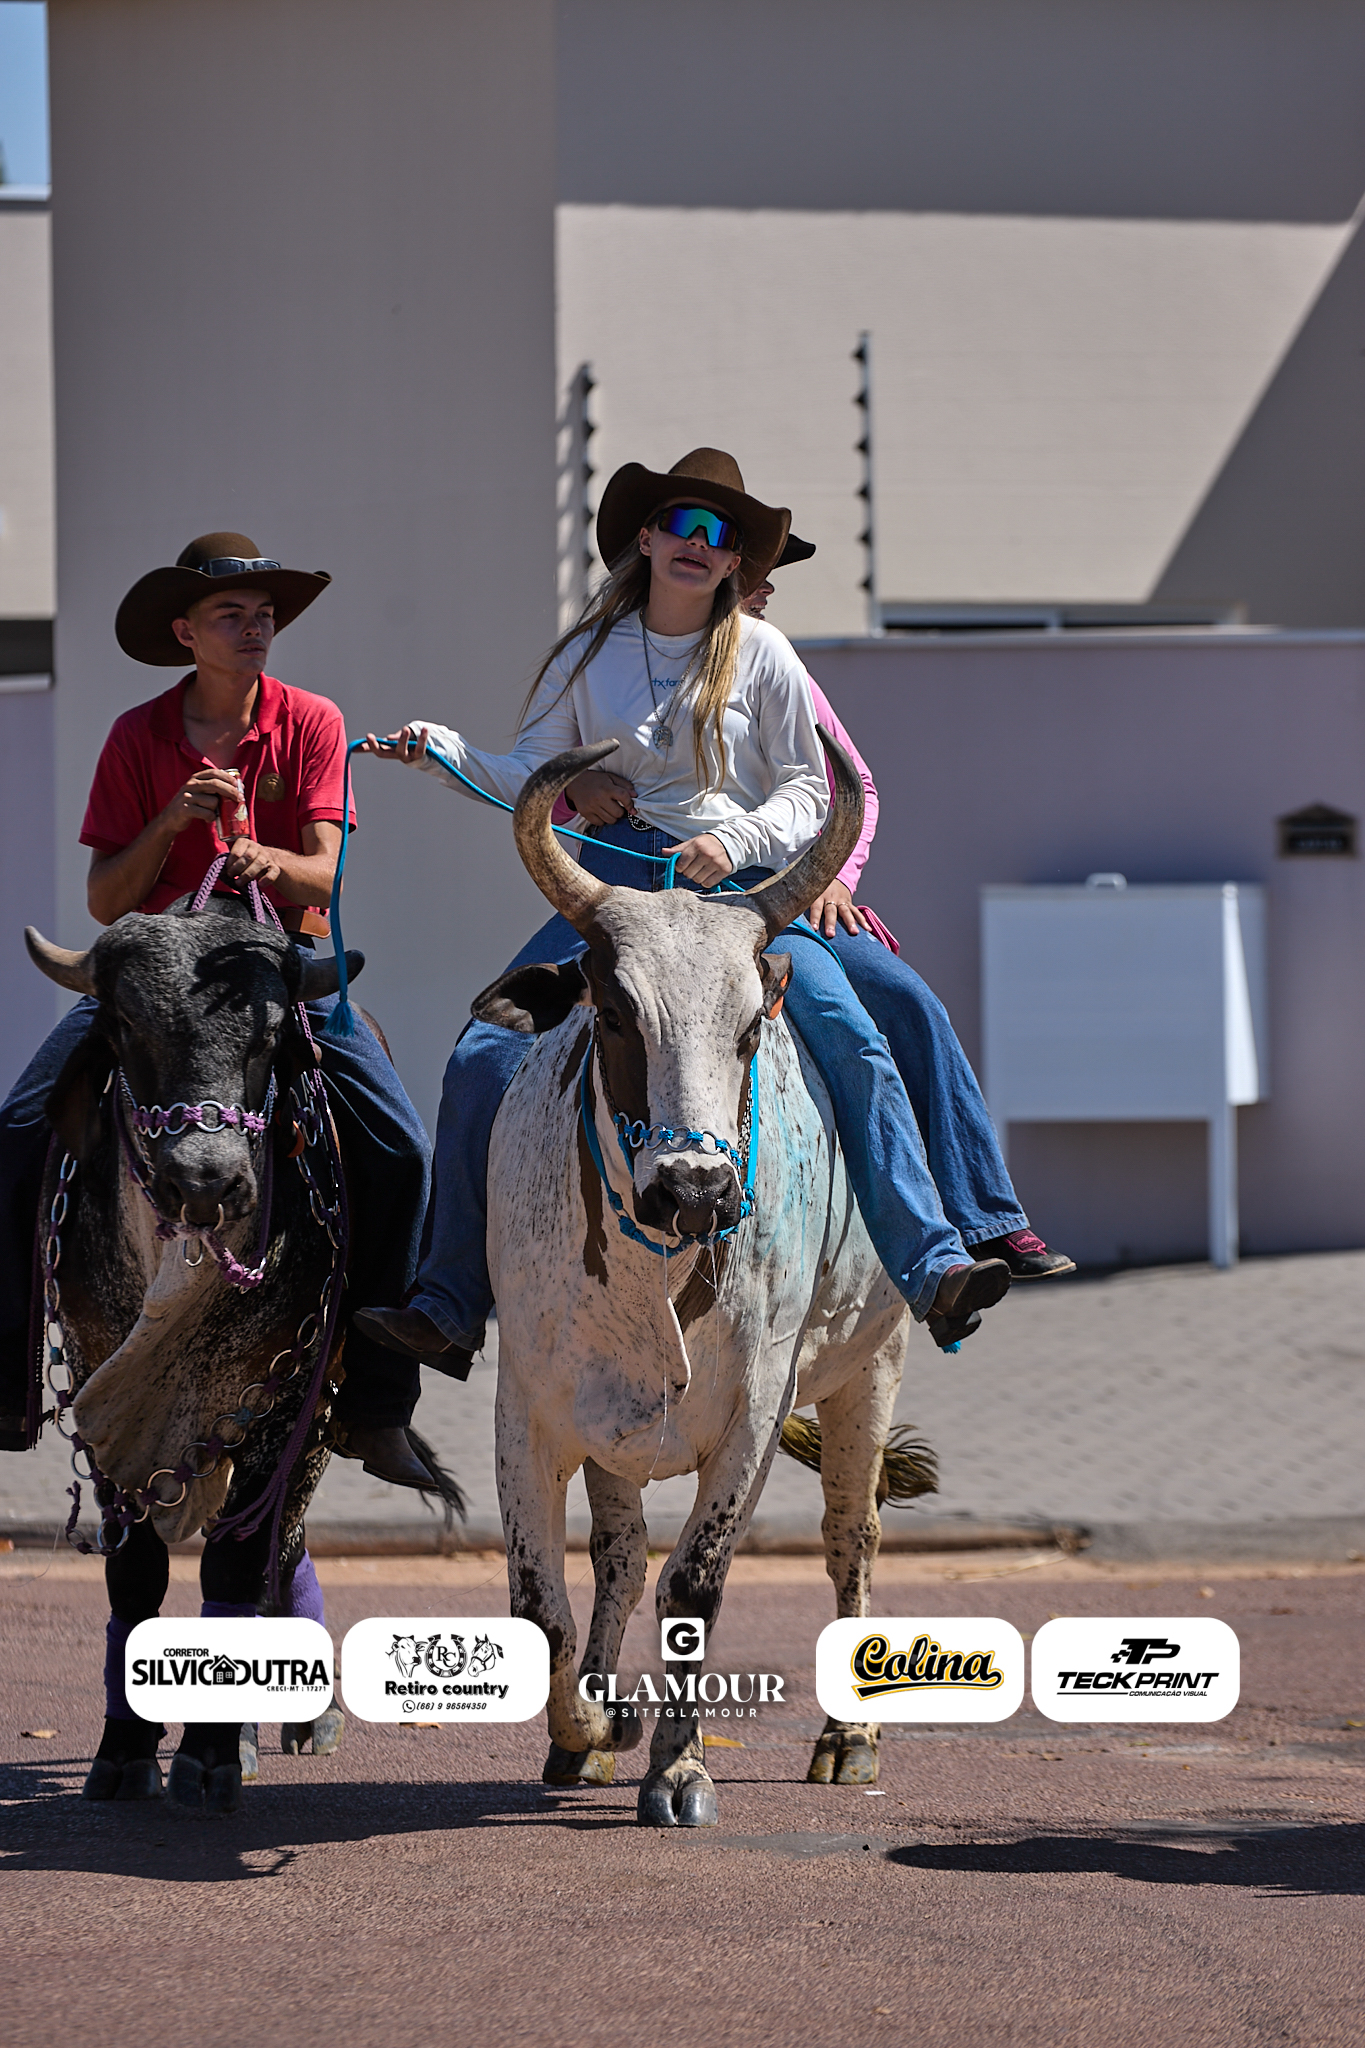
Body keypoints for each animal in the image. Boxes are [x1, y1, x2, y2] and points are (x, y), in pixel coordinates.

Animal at [481, 735, 915, 1827]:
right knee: (620, 1551)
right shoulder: (529, 1408)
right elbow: (540, 1606)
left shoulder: (754, 1413)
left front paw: (677, 1769)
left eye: (752, 1024)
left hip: (873, 1363)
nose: (695, 1188)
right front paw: (595, 1725)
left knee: (851, 1534)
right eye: (612, 1011)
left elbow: (697, 1585)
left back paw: (847, 1739)